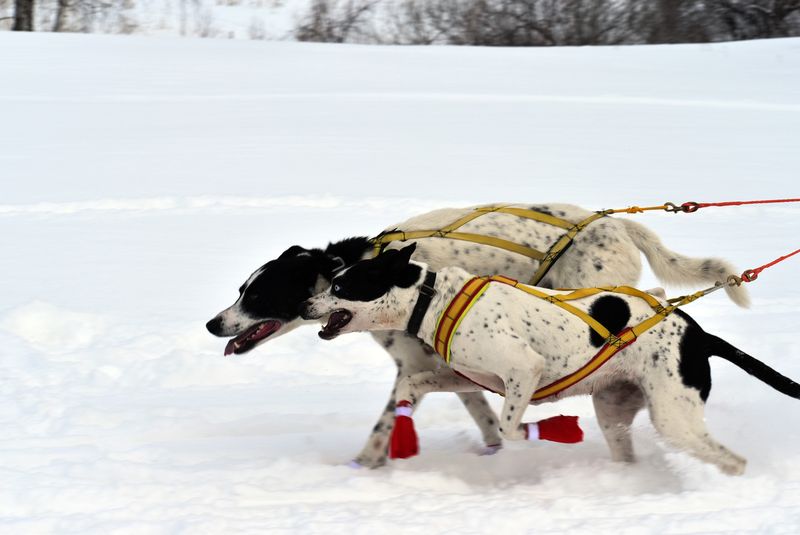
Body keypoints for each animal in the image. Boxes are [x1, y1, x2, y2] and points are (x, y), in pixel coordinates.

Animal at [206, 203, 752, 466]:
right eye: (241, 289)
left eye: (258, 295)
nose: (214, 324)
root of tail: (618, 226)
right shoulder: (446, 369)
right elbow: (485, 415)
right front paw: (494, 449)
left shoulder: (423, 364)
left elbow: (385, 427)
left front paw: (364, 465)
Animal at [302, 245, 800, 476]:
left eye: (341, 286)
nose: (305, 305)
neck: (432, 297)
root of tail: (699, 334)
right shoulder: (471, 377)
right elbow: (412, 386)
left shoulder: (523, 369)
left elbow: (509, 428)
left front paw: (546, 431)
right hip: (615, 412)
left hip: (674, 418)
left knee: (733, 460)